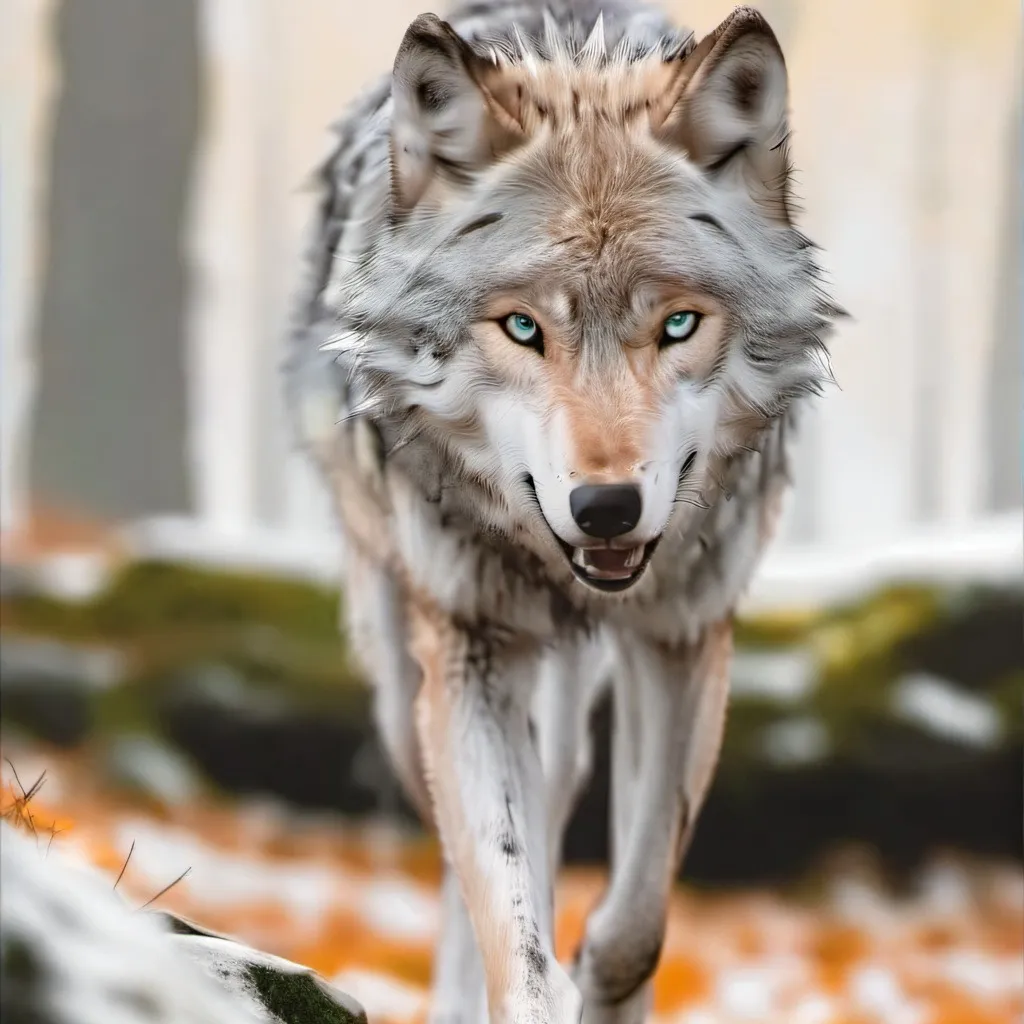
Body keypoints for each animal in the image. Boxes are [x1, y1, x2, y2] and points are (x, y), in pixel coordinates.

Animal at [284, 1, 839, 1021]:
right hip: (405, 691)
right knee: (478, 853)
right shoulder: (470, 649)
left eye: (677, 324)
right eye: (522, 327)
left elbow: (636, 924)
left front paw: (608, 984)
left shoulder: (685, 635)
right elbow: (516, 927)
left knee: (559, 792)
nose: (608, 507)